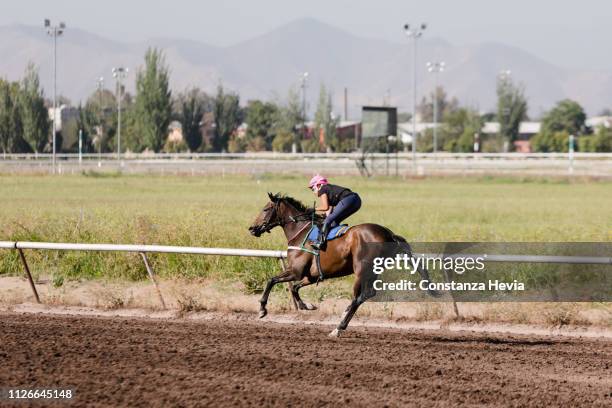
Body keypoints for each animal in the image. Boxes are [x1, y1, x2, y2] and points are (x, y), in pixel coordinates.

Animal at [249, 193, 436, 336]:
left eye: (265, 209)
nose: (252, 228)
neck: (300, 231)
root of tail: (389, 234)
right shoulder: (311, 275)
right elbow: (294, 288)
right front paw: (307, 306)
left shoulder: (296, 271)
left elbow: (271, 280)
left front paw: (262, 310)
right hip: (372, 270)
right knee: (364, 295)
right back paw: (342, 320)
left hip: (362, 270)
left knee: (362, 295)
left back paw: (339, 327)